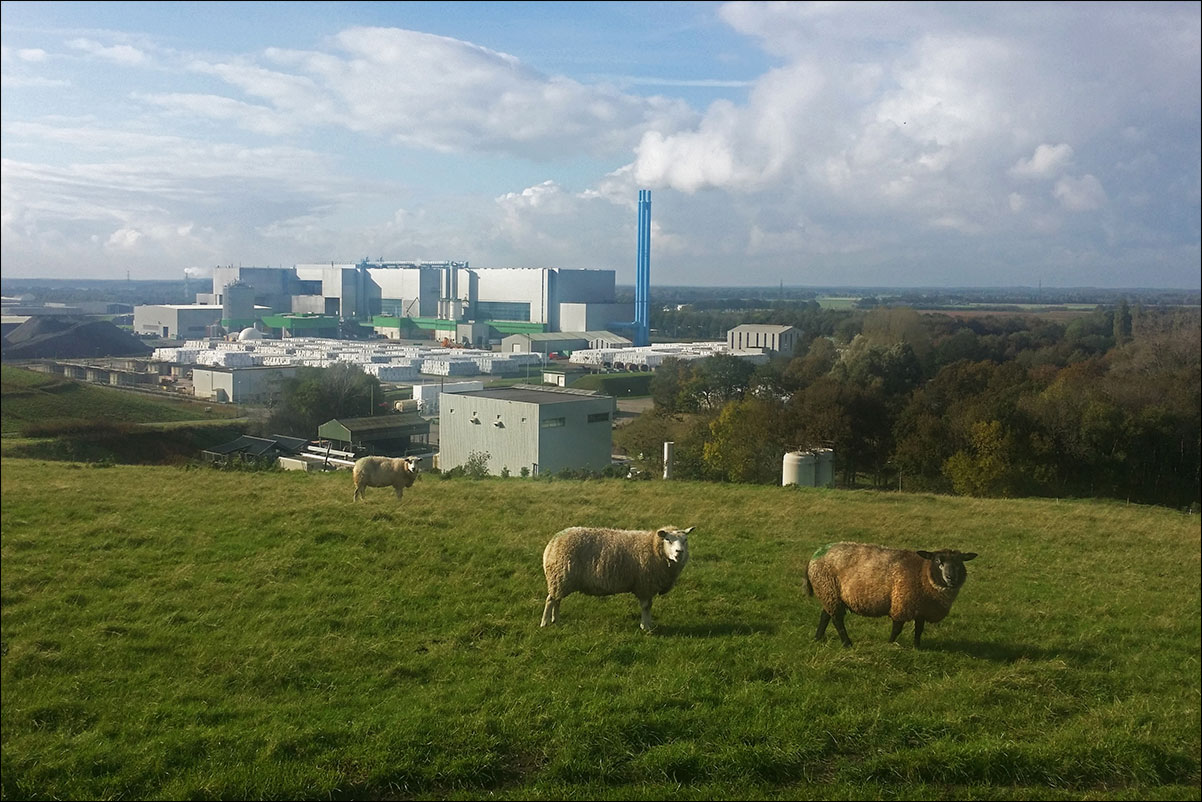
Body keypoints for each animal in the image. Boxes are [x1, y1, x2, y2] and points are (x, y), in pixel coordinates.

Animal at [538, 526, 697, 634]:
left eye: (685, 540)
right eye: (668, 540)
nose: (679, 552)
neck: (653, 547)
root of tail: (553, 541)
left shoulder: (648, 586)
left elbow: (649, 606)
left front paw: (649, 625)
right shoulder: (644, 585)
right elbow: (646, 606)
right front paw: (645, 627)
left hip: (560, 581)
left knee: (557, 600)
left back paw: (556, 620)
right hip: (560, 577)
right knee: (550, 600)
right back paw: (545, 623)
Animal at [798, 543, 976, 649]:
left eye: (959, 563)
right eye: (938, 562)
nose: (951, 578)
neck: (922, 574)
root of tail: (813, 556)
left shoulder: (921, 609)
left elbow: (919, 629)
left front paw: (917, 647)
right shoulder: (901, 604)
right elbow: (897, 628)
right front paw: (890, 644)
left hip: (831, 594)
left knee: (825, 615)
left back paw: (818, 638)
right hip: (828, 589)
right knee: (837, 619)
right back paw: (847, 643)